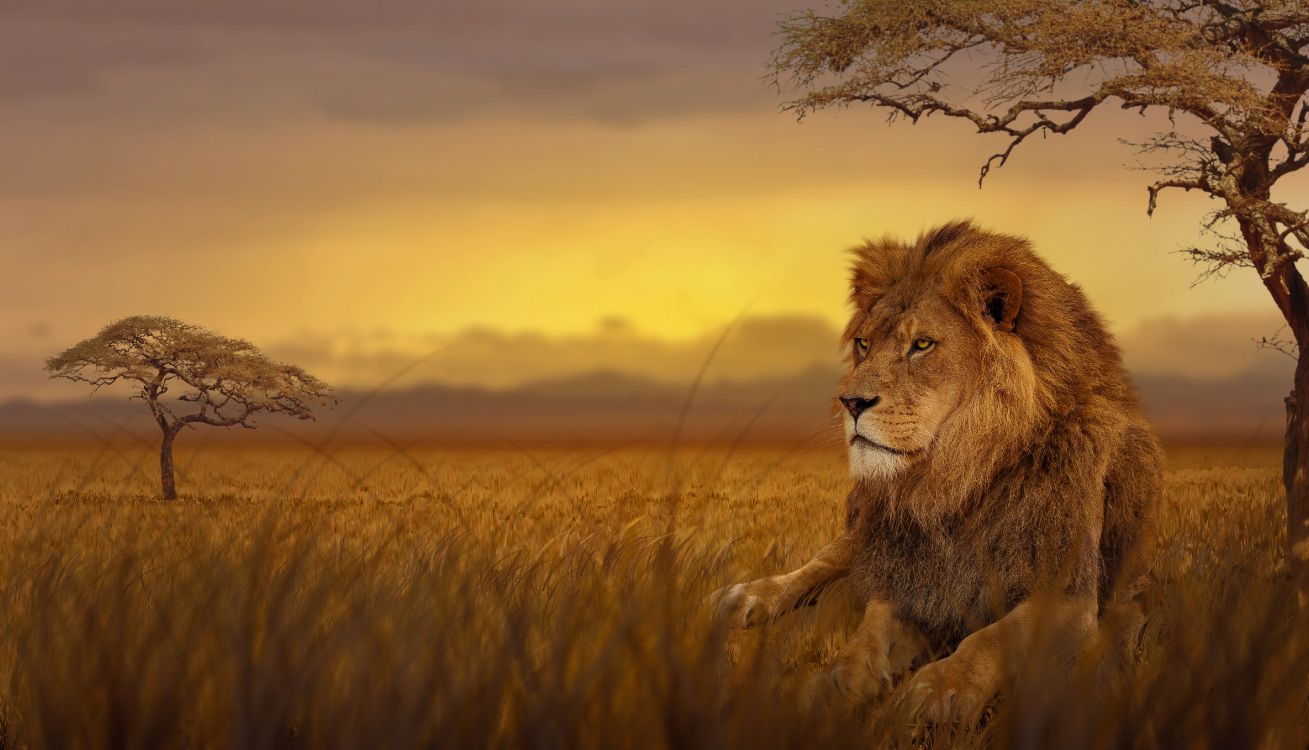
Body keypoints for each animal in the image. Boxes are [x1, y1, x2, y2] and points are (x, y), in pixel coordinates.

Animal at [713, 220, 1161, 722]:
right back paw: (748, 598)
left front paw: (938, 690)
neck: (956, 481)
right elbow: (867, 635)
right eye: (864, 344)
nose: (850, 402)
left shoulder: (1068, 594)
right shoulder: (908, 574)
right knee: (825, 560)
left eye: (922, 344)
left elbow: (991, 638)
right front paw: (834, 684)